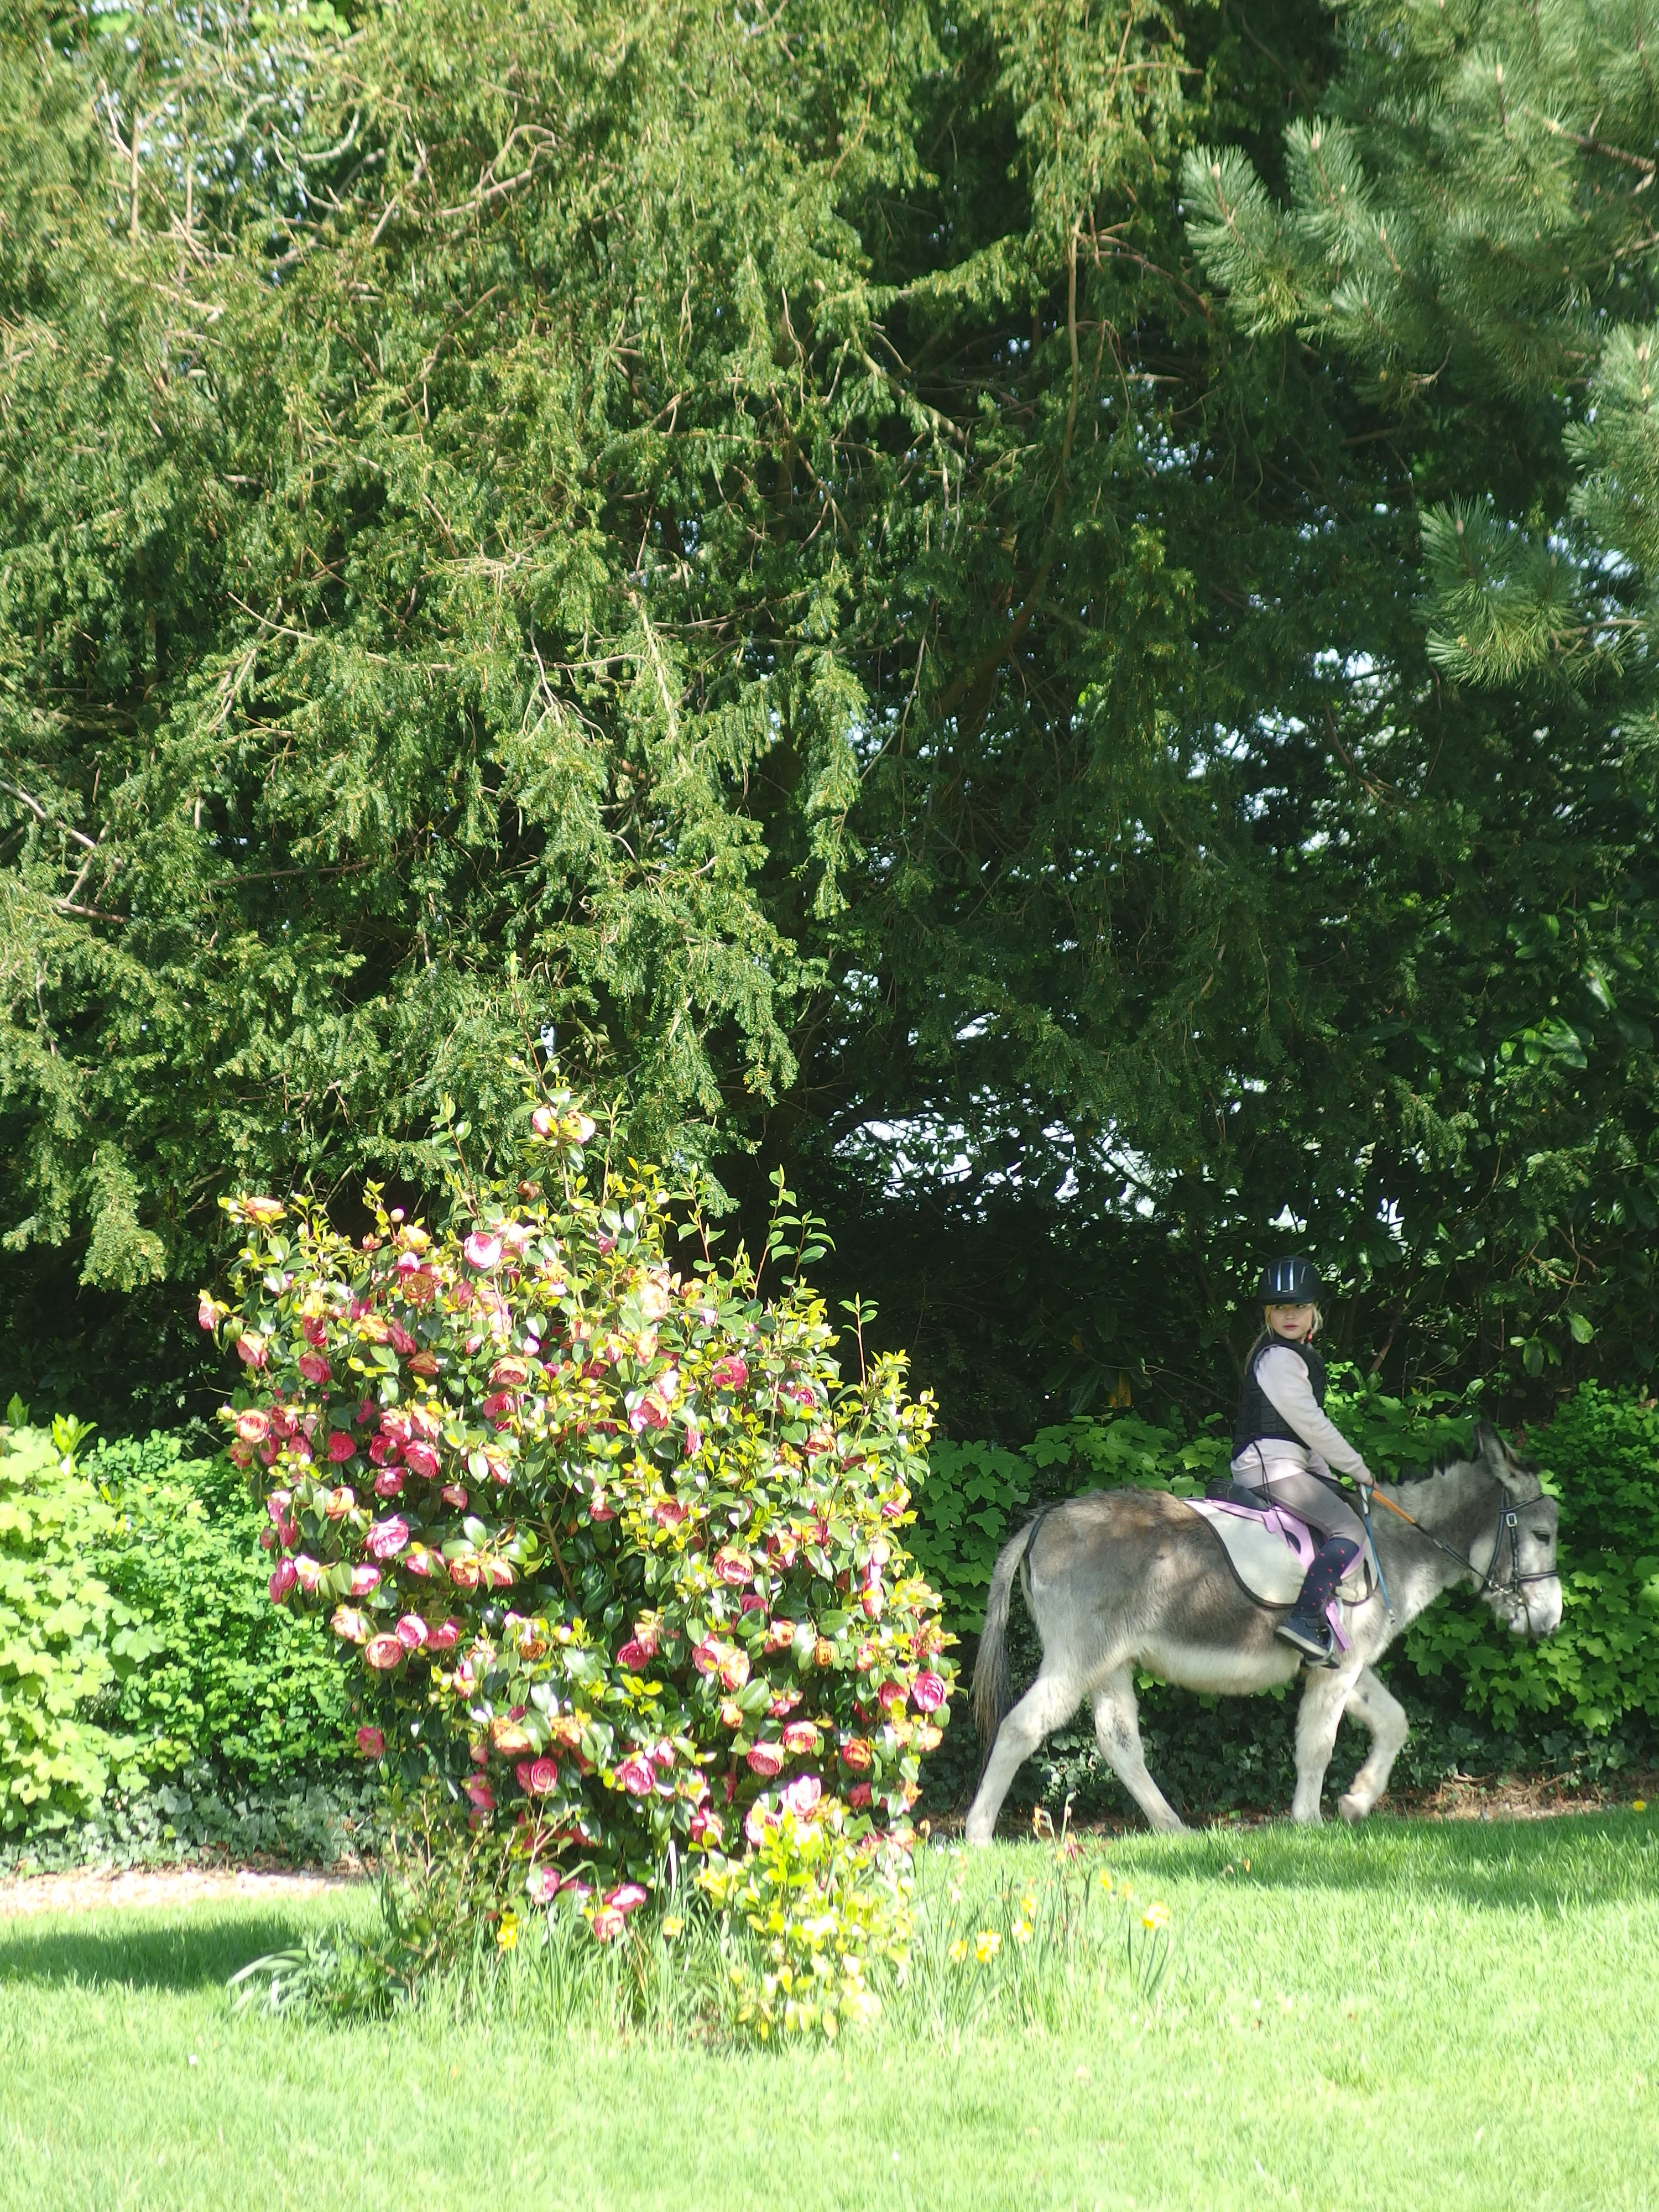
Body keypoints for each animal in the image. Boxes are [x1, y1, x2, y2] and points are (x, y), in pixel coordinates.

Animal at [964, 1423, 1563, 1839]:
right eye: (1543, 1534)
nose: (1552, 1621)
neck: (1392, 1548)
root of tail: (1044, 1520)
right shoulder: (1337, 1672)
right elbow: (1317, 1745)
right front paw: (1309, 1822)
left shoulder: (1344, 1665)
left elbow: (1394, 1723)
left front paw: (1356, 1802)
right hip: (1078, 1658)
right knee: (1020, 1728)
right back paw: (978, 1835)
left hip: (1110, 1663)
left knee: (1119, 1743)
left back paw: (1174, 1829)